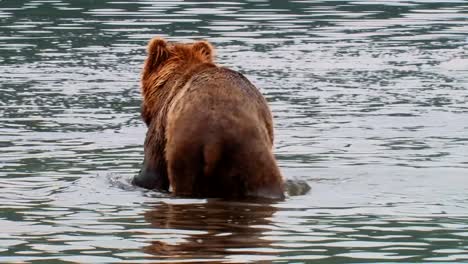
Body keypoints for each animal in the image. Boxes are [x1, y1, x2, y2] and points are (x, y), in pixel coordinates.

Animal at [132, 36, 286, 199]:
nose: (142, 109)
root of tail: (215, 138)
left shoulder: (161, 124)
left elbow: (151, 171)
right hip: (252, 151)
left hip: (184, 148)